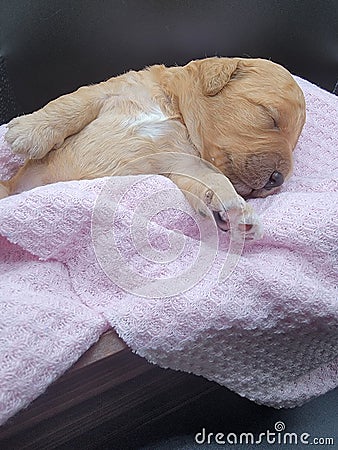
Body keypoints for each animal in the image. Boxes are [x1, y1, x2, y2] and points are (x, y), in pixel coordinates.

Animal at [0, 58, 306, 241]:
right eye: (269, 117)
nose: (278, 179)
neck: (175, 110)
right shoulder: (110, 90)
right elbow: (71, 103)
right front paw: (28, 132)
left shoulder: (185, 163)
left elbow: (211, 179)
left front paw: (237, 212)